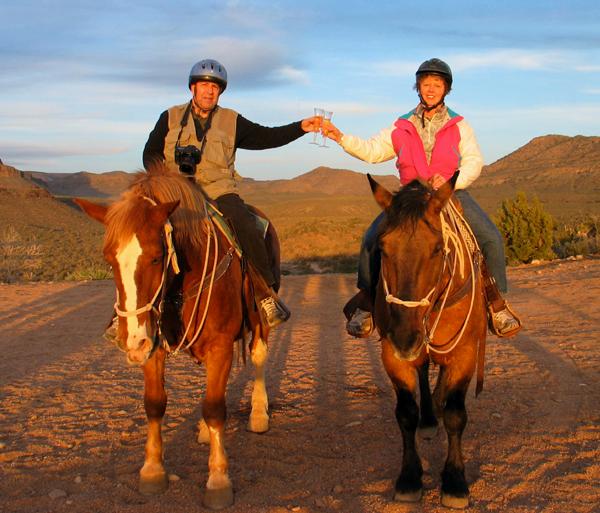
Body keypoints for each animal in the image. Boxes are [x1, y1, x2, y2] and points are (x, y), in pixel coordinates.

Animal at [75, 164, 278, 508]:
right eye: (109, 259)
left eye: (157, 257)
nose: (131, 339)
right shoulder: (153, 345)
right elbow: (155, 404)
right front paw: (153, 471)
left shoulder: (220, 344)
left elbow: (215, 408)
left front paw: (218, 480)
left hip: (260, 316)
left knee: (259, 355)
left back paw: (258, 414)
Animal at [368, 173, 490, 508]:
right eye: (382, 248)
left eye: (437, 249)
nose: (405, 336)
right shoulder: (392, 355)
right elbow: (406, 413)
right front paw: (409, 478)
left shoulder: (464, 352)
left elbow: (456, 415)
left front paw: (455, 482)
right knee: (423, 374)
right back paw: (429, 416)